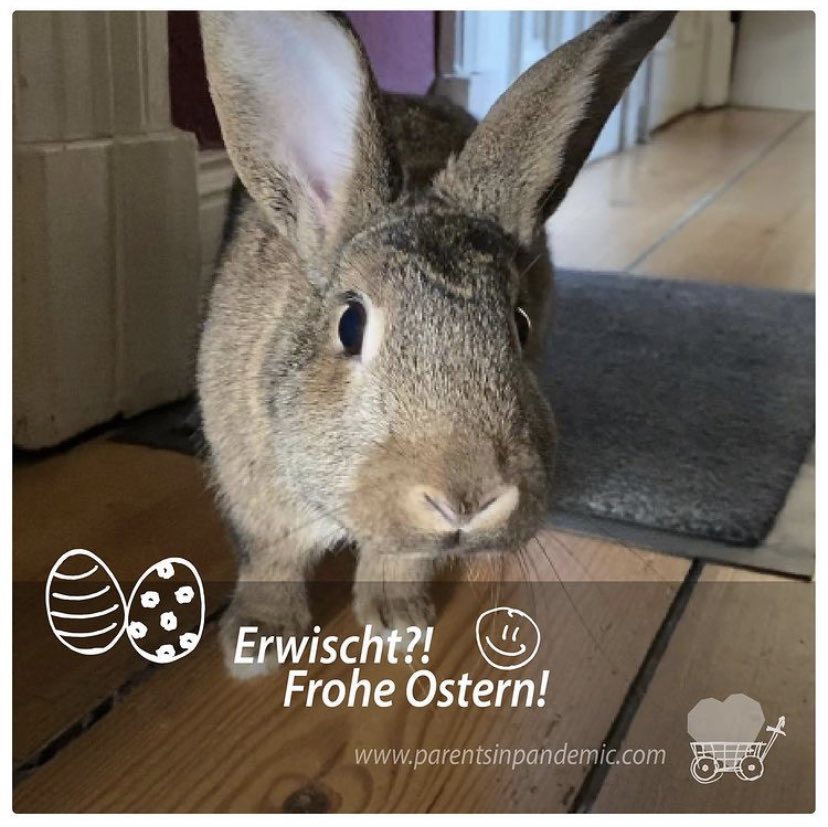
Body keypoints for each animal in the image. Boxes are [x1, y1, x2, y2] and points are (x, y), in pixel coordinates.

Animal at [198, 10, 675, 677]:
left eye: (520, 325)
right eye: (351, 325)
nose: (467, 499)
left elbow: (400, 559)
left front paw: (398, 622)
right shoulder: (256, 496)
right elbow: (272, 561)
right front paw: (258, 642)